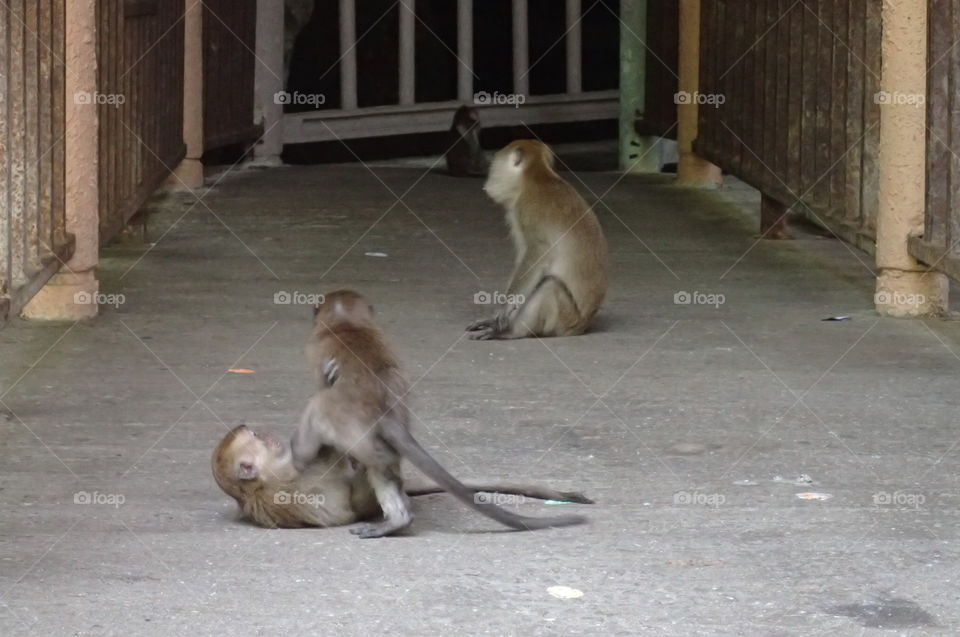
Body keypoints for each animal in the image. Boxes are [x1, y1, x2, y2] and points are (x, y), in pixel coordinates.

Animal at [290, 290, 588, 538]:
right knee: (384, 470)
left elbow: (320, 380)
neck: (346, 321)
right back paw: (397, 521)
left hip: (336, 422)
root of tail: (383, 411)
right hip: (368, 438)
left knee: (316, 413)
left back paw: (299, 457)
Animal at [466, 139, 608, 340]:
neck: (538, 177)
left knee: (550, 286)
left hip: (566, 318)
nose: (491, 167)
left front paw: (502, 311)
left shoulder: (526, 207)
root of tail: (583, 325)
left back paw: (509, 331)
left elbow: (538, 254)